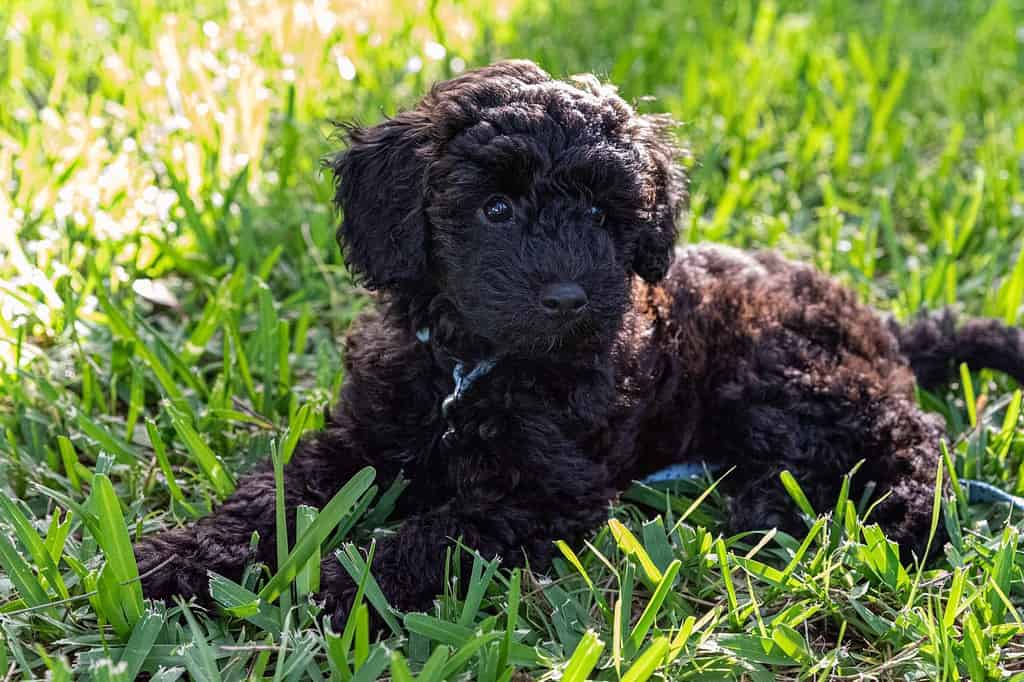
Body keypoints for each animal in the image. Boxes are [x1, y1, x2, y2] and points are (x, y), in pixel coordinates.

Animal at [136, 58, 1024, 622]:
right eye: (495, 209)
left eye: (601, 214)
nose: (568, 298)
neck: (470, 368)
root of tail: (880, 325)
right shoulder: (363, 436)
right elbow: (276, 492)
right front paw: (182, 557)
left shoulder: (544, 492)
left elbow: (441, 533)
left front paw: (351, 588)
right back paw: (764, 509)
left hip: (793, 377)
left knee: (913, 436)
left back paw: (899, 519)